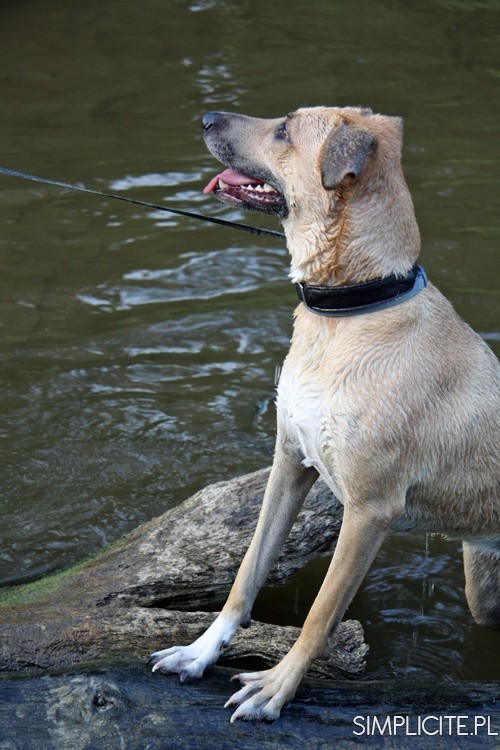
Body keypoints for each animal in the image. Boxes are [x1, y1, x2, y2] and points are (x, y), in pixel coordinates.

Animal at [149, 106, 500, 721]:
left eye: (284, 131)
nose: (207, 115)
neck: (354, 311)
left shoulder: (369, 512)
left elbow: (318, 615)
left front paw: (275, 689)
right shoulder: (290, 463)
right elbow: (247, 574)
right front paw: (199, 653)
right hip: (482, 584)